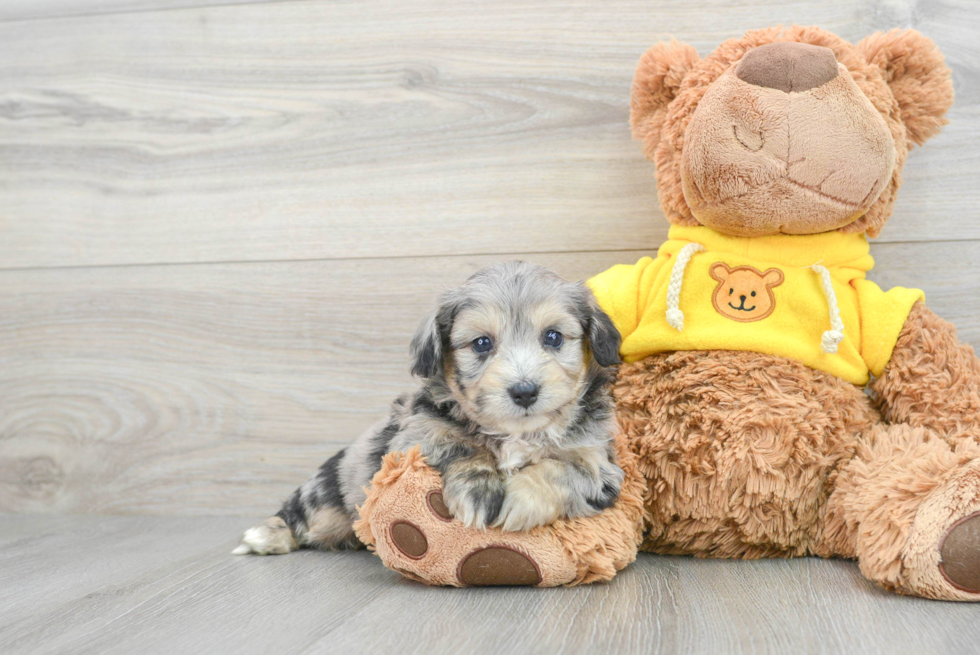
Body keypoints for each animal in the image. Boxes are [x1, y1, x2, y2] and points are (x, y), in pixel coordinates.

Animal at [234, 264, 624, 556]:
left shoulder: (600, 464)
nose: (524, 391)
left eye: (553, 337)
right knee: (299, 514)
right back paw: (264, 536)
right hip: (326, 491)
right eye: (482, 343)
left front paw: (522, 498)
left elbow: (562, 469)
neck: (516, 433)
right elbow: (459, 445)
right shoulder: (414, 435)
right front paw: (479, 491)